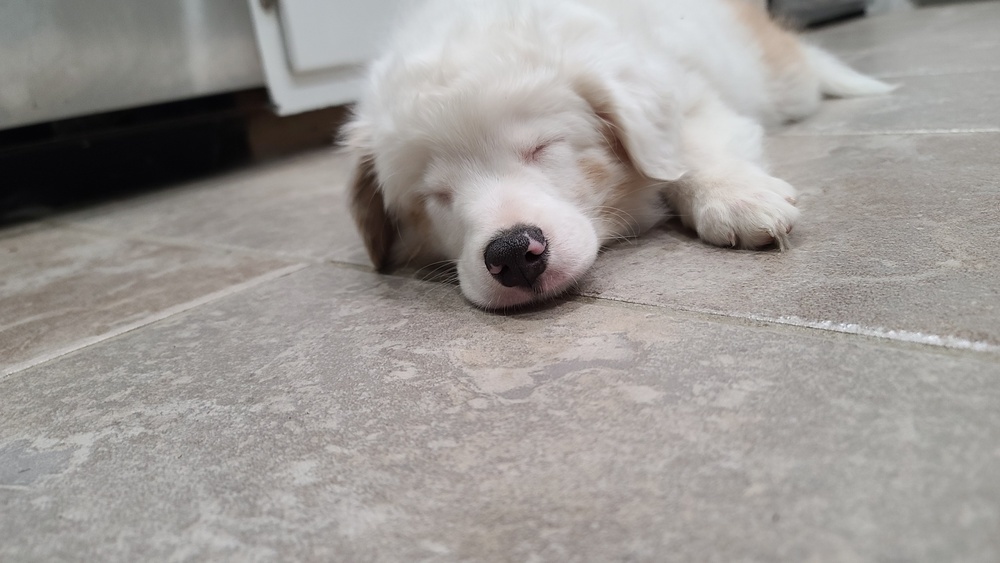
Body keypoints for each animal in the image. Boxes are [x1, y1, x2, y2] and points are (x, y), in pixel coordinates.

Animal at [344, 0, 892, 310]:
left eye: (543, 148)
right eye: (435, 195)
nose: (512, 255)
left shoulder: (687, 92)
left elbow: (684, 149)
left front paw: (736, 198)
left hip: (775, 78)